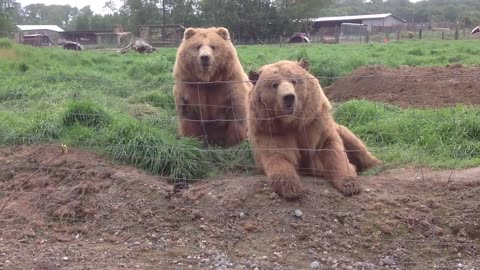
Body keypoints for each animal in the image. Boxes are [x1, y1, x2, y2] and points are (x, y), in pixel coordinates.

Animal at [246, 59, 380, 200]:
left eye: (294, 81)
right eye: (274, 84)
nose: (289, 97)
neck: (291, 122)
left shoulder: (315, 124)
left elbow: (332, 149)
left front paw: (350, 184)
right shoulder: (271, 131)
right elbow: (278, 157)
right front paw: (293, 188)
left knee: (356, 144)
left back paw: (374, 164)